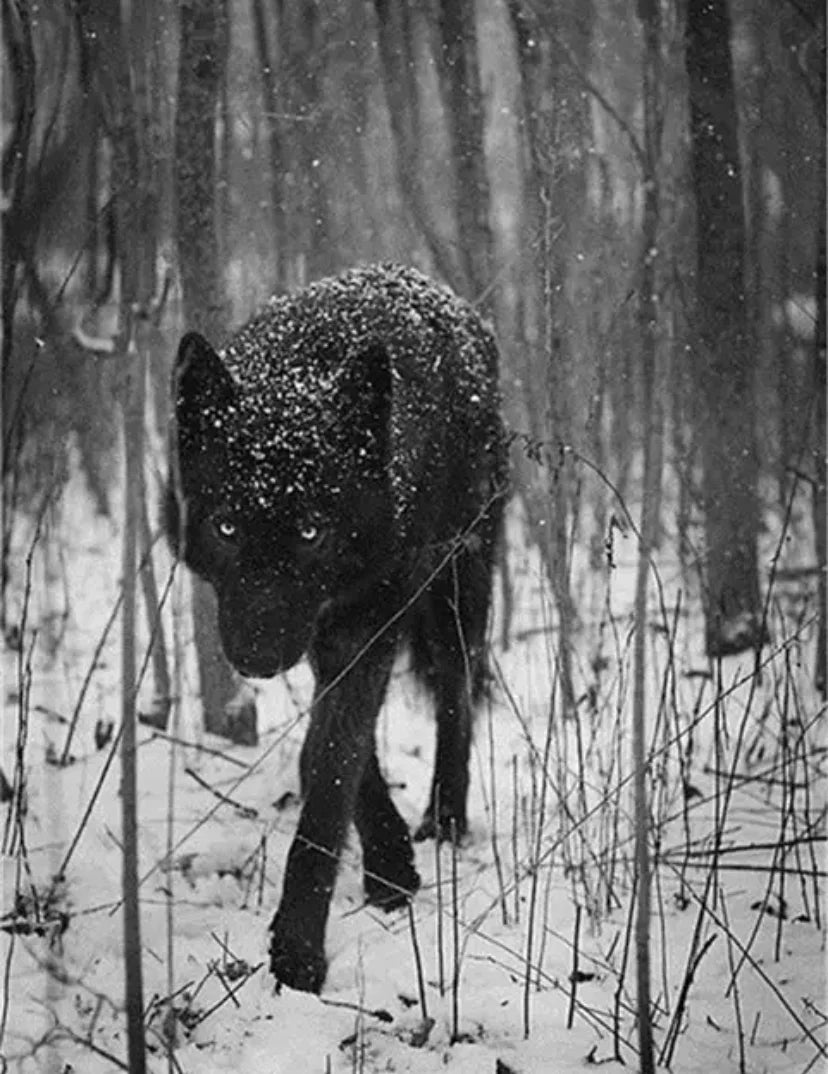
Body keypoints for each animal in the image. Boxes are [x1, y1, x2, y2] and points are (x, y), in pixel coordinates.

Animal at [166, 264, 507, 992]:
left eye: (311, 531)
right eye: (228, 527)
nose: (258, 656)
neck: (300, 367)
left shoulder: (365, 627)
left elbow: (328, 773)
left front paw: (297, 955)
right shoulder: (329, 637)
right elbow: (340, 759)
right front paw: (390, 866)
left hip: (457, 585)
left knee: (458, 696)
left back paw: (445, 819)